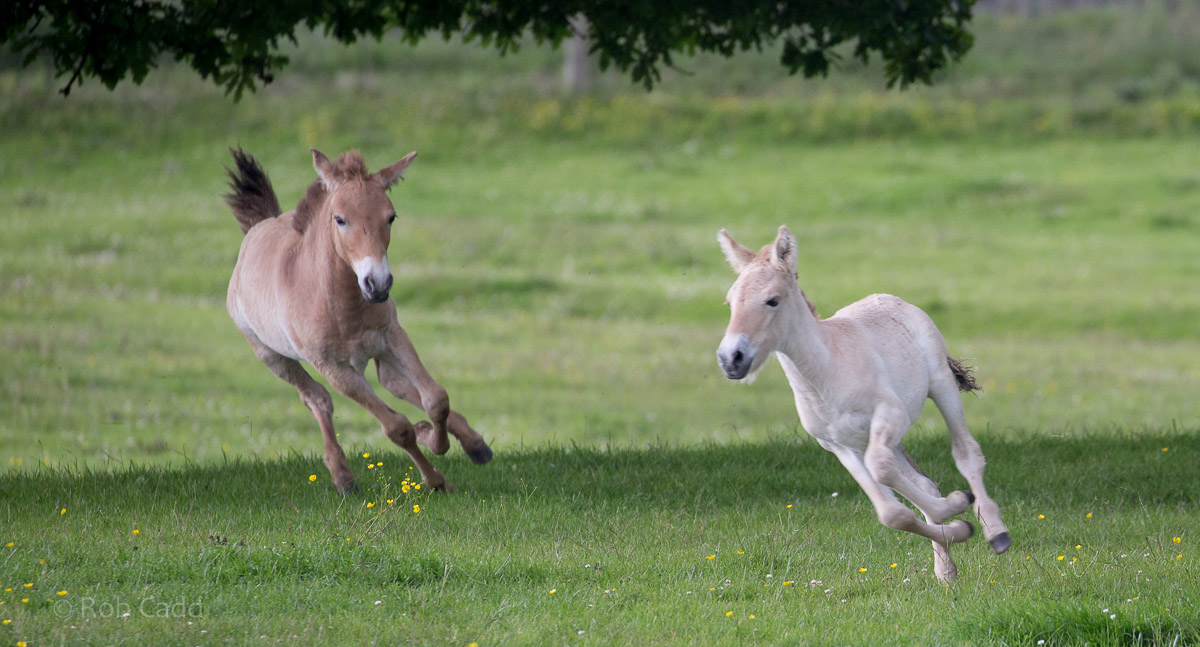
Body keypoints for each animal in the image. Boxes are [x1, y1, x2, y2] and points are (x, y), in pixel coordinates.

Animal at [224, 147, 493, 494]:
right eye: (340, 219)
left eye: (391, 217)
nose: (377, 283)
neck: (343, 308)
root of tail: (259, 226)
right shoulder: (335, 368)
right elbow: (396, 427)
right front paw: (435, 479)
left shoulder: (393, 336)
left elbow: (436, 399)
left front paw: (439, 441)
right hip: (273, 357)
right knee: (317, 399)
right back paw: (343, 477)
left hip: (377, 354)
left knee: (398, 386)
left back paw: (469, 443)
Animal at [715, 226, 1010, 583]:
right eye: (730, 302)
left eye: (772, 300)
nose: (731, 359)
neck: (826, 375)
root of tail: (892, 299)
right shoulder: (838, 445)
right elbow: (891, 512)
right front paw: (957, 523)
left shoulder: (890, 414)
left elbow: (882, 468)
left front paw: (960, 508)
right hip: (879, 437)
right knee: (923, 482)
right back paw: (945, 567)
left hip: (940, 385)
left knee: (966, 453)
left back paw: (996, 532)